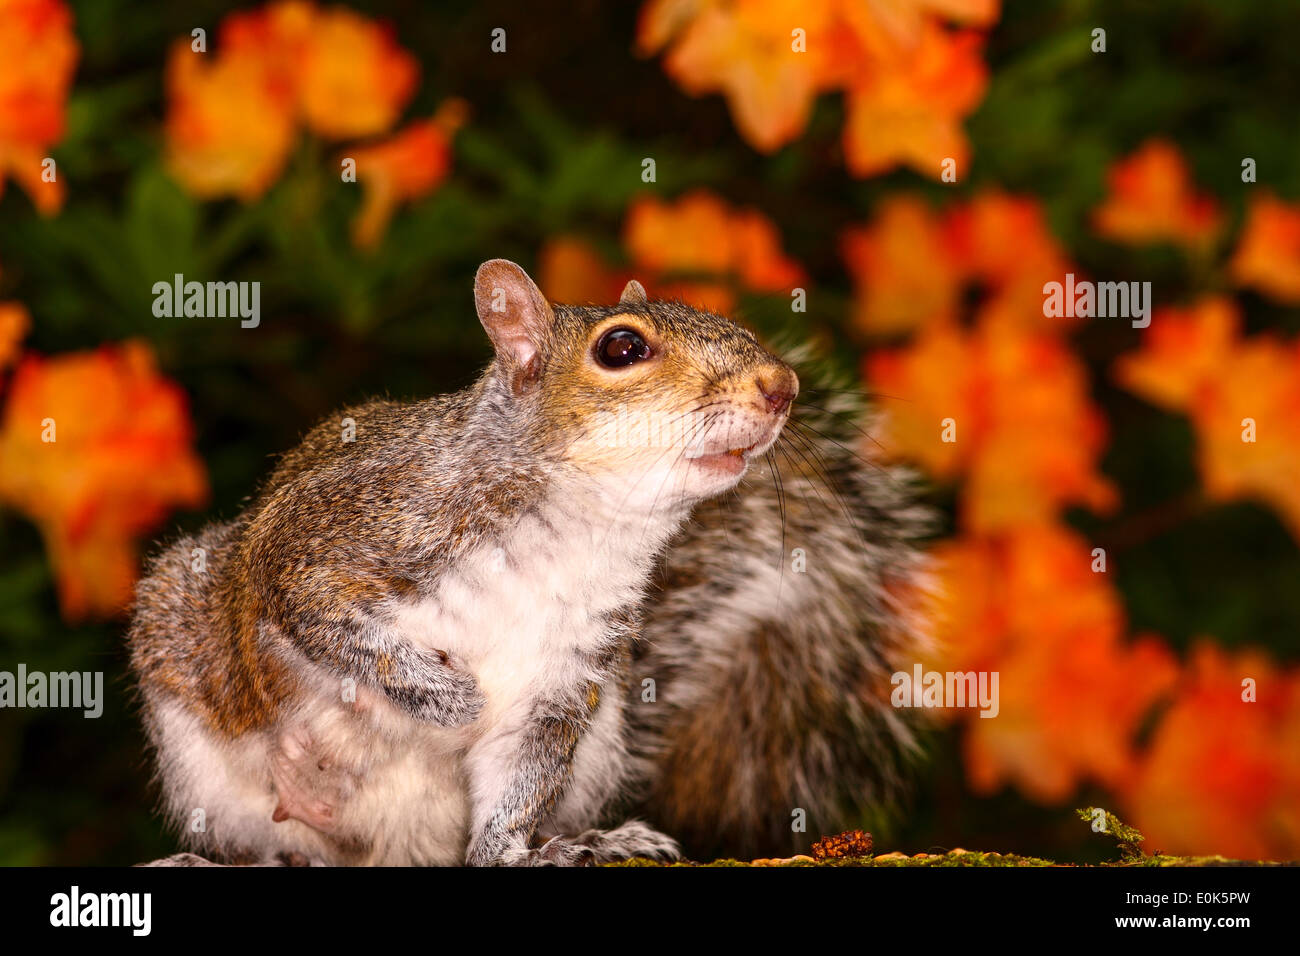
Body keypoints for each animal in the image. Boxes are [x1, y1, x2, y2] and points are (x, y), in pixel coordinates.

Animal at [128, 259, 933, 866]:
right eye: (621, 349)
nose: (782, 388)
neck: (577, 531)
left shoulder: (564, 672)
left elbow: (520, 772)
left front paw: (517, 853)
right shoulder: (330, 539)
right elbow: (327, 620)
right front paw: (448, 699)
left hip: (601, 741)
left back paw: (590, 842)